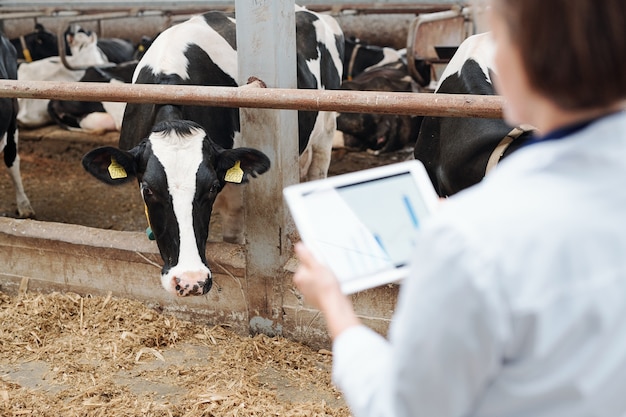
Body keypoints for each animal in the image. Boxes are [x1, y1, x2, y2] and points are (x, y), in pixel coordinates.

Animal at [81, 8, 344, 298]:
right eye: (147, 189)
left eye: (213, 187)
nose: (190, 281)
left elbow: (232, 236)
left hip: (327, 123)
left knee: (318, 169)